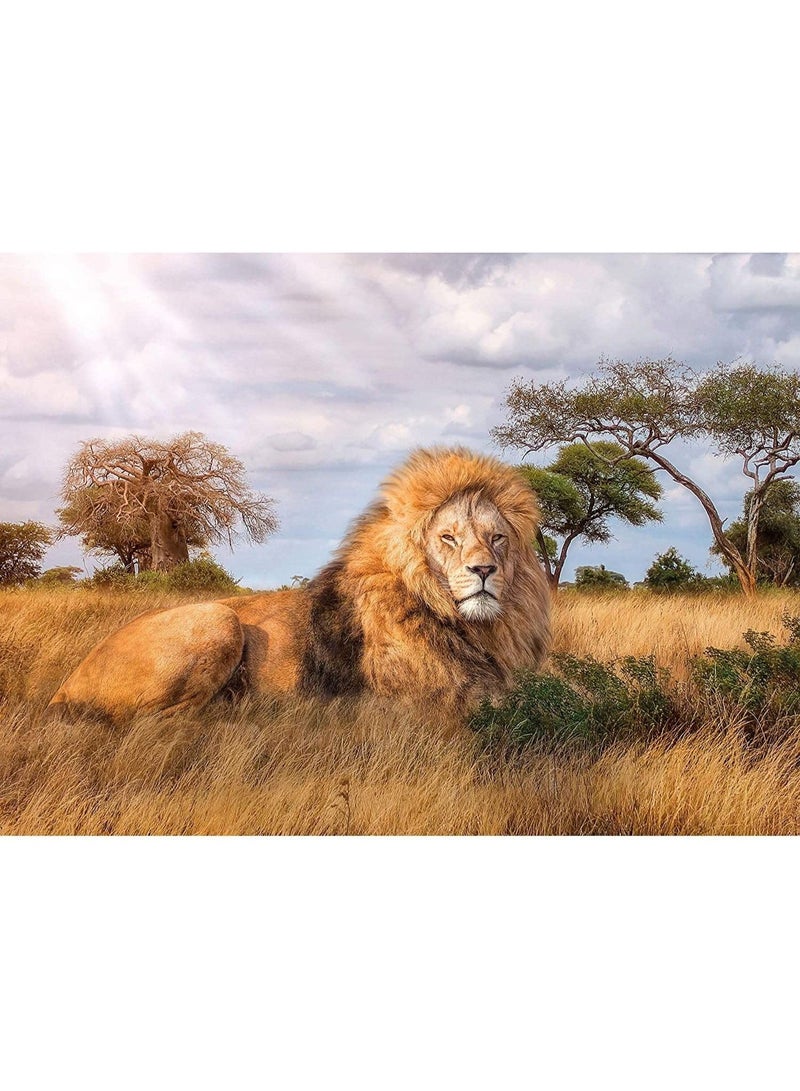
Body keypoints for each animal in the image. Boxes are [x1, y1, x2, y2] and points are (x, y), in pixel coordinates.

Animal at [48, 447, 551, 722]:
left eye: (497, 538)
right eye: (448, 538)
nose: (483, 570)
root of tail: (66, 684)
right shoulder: (430, 706)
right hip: (218, 617)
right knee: (154, 723)